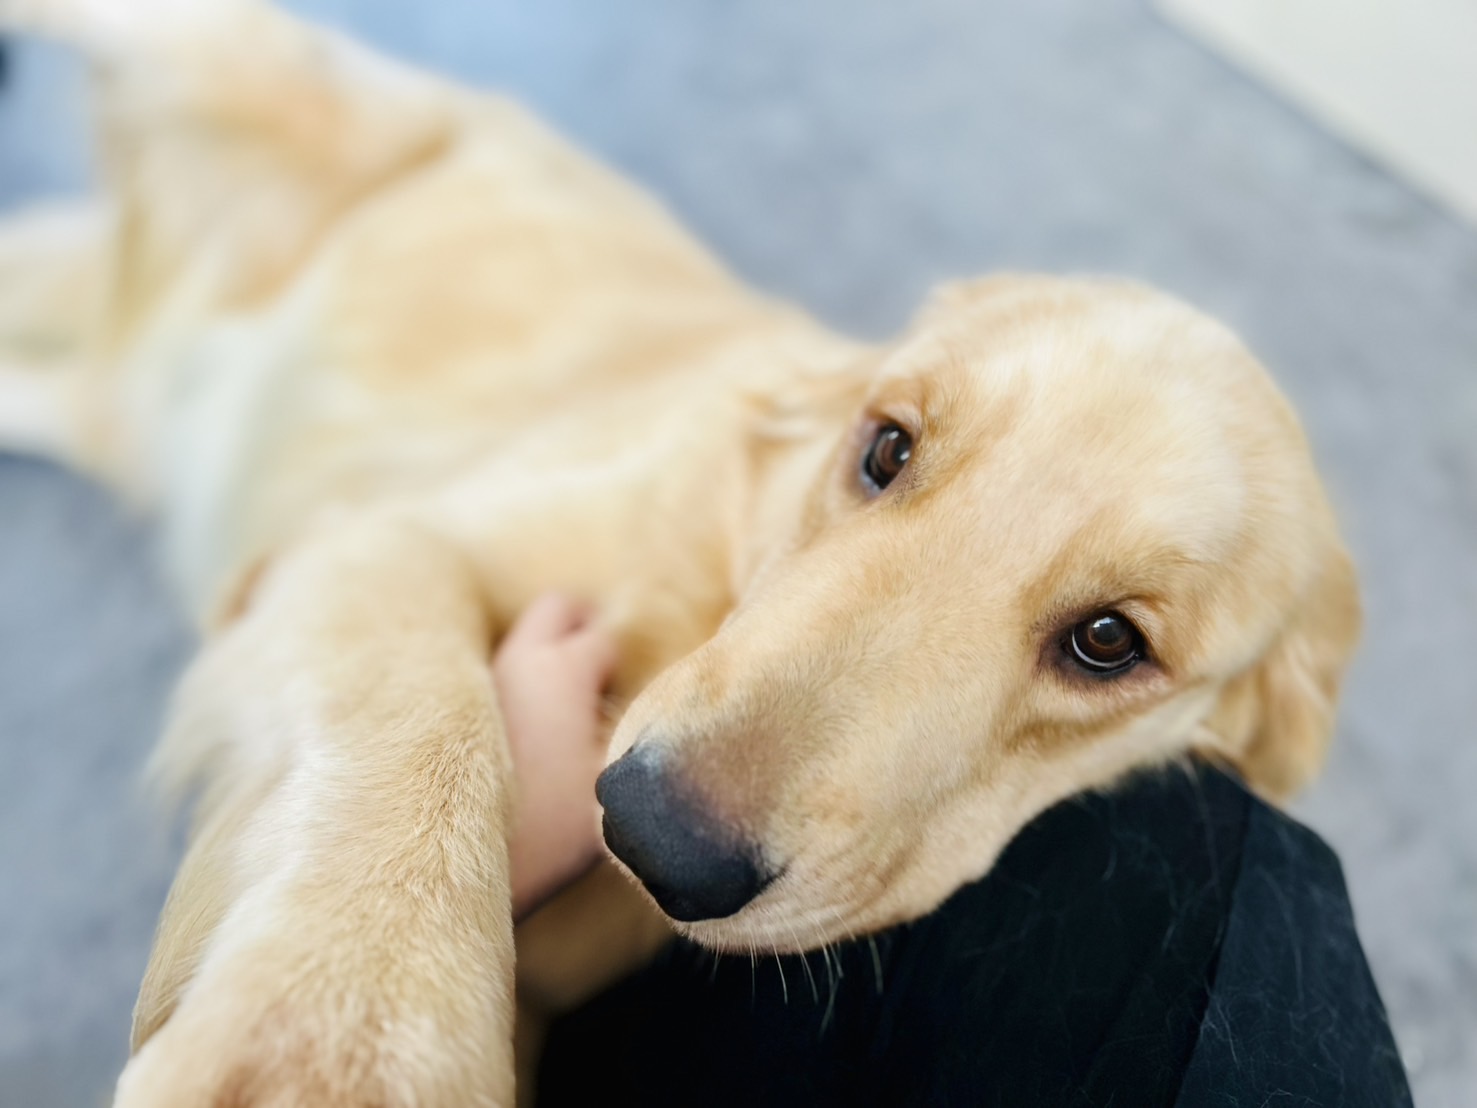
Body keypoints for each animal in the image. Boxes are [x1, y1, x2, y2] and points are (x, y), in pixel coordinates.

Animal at [0, 1, 1360, 1104]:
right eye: (886, 449)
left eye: (1107, 642)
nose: (651, 832)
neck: (721, 575)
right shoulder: (382, 539)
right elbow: (428, 723)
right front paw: (338, 1039)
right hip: (247, 65)